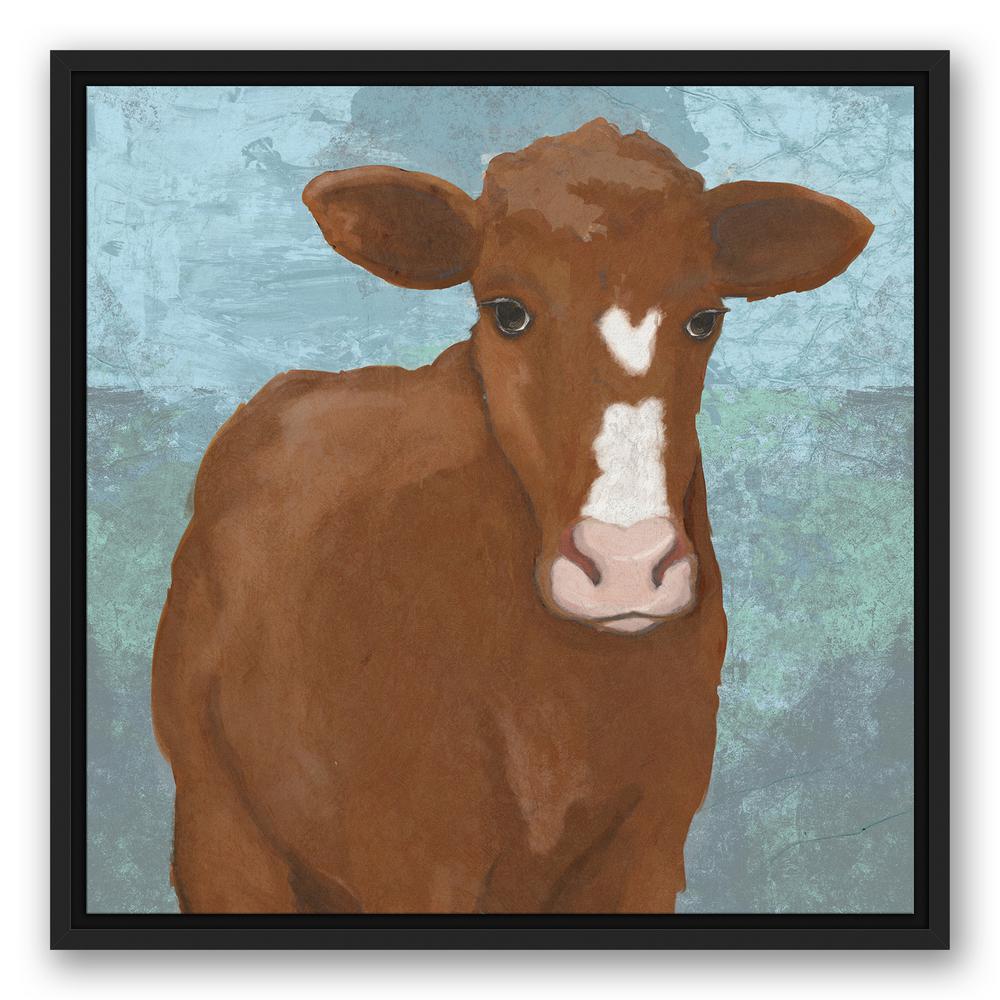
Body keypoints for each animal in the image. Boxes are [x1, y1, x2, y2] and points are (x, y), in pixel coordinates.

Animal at [152, 118, 873, 914]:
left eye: (704, 319)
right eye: (507, 312)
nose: (626, 566)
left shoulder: (650, 844)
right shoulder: (411, 858)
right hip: (217, 818)